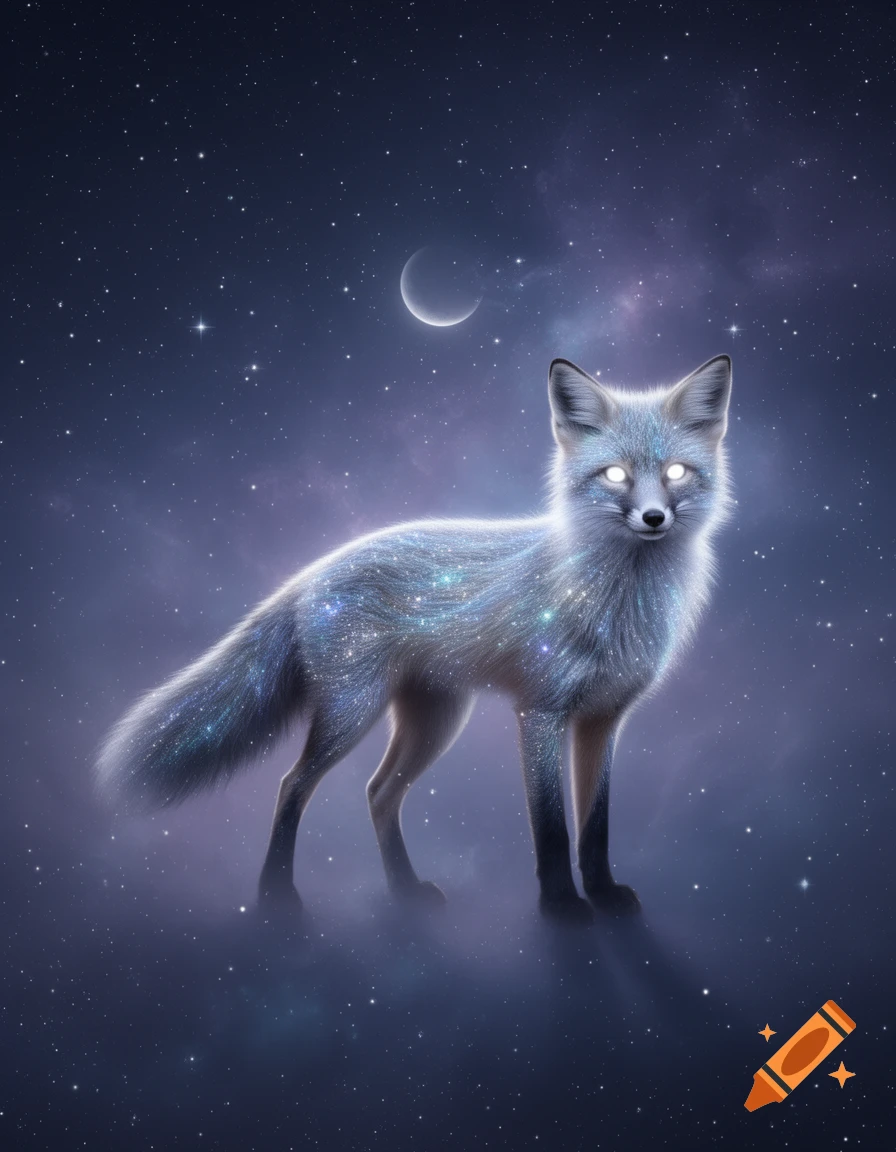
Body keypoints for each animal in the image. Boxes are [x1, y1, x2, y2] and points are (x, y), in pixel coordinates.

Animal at [96, 354, 733, 923]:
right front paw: (561, 906)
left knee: (379, 793)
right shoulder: (540, 713)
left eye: (677, 472)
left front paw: (601, 894)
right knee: (291, 785)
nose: (653, 518)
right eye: (616, 475)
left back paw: (404, 891)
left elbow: (594, 826)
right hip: (353, 713)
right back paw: (277, 896)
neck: (615, 599)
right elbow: (551, 828)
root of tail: (309, 572)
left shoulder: (603, 719)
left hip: (435, 722)